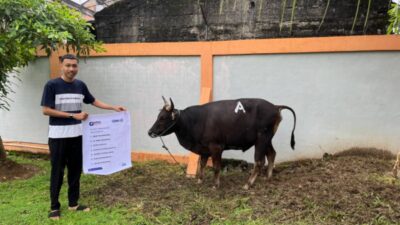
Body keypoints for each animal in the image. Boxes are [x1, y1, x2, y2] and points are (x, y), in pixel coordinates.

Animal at [148, 97, 296, 189]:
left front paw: (215, 184)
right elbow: (202, 164)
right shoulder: (204, 149)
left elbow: (216, 166)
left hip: (262, 139)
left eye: (163, 117)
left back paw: (248, 184)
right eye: (158, 116)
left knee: (259, 161)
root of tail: (275, 106)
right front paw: (199, 180)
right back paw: (268, 177)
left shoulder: (216, 147)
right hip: (266, 140)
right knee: (271, 154)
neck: (196, 120)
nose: (150, 132)